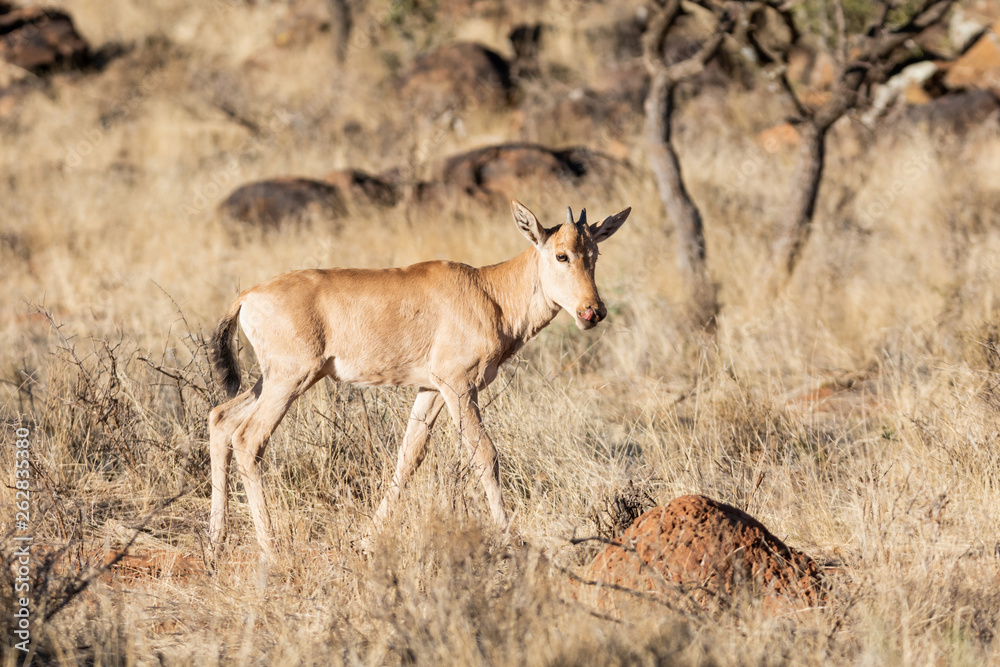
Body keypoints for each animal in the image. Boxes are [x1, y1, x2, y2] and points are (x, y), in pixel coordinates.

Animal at [207, 200, 628, 560]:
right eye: (561, 254)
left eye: (595, 254)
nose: (592, 312)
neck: (487, 290)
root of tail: (248, 296)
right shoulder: (459, 385)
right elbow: (485, 455)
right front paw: (512, 540)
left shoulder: (432, 388)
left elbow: (409, 456)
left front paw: (367, 540)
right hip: (290, 379)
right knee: (249, 439)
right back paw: (272, 551)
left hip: (272, 380)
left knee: (221, 419)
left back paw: (216, 543)